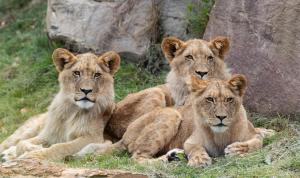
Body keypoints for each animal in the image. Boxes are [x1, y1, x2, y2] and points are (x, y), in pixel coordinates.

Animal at [79, 74, 264, 166]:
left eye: (229, 100)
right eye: (209, 99)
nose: (221, 117)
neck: (221, 134)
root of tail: (125, 135)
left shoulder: (252, 133)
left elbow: (258, 141)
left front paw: (237, 149)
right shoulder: (191, 140)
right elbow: (195, 148)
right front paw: (199, 160)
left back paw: (173, 156)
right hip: (171, 113)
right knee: (137, 158)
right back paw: (167, 159)